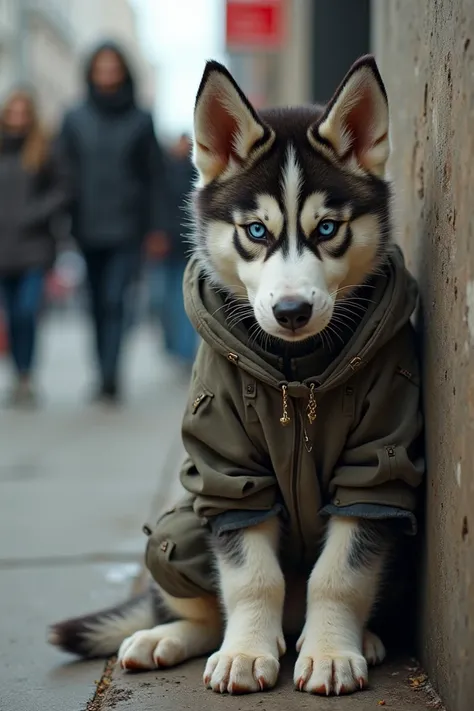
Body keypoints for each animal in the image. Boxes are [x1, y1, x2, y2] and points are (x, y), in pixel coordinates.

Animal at [50, 54, 424, 696]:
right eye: (256, 231)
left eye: (328, 229)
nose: (292, 311)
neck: (296, 376)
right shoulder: (227, 472)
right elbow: (251, 575)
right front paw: (246, 652)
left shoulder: (378, 464)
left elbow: (340, 571)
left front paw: (330, 651)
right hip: (178, 524)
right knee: (202, 598)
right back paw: (168, 636)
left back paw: (363, 639)